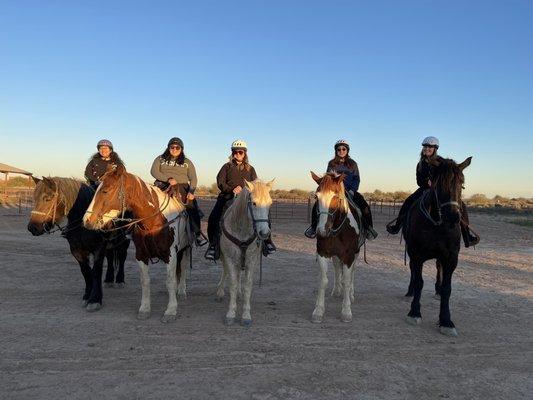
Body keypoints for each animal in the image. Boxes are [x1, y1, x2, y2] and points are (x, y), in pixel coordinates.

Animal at [27, 177, 130, 310]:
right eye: (34, 198)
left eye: (47, 198)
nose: (32, 228)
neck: (83, 222)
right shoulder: (76, 250)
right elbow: (86, 272)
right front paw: (87, 295)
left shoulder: (98, 248)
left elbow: (96, 271)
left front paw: (95, 299)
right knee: (111, 256)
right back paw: (109, 279)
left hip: (123, 239)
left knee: (122, 256)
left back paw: (119, 279)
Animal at [83, 164, 191, 324]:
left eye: (105, 190)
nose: (87, 220)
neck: (154, 221)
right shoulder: (141, 255)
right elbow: (145, 281)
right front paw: (145, 309)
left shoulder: (170, 254)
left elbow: (170, 281)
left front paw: (171, 310)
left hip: (184, 249)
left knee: (182, 268)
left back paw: (182, 291)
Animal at [216, 180, 274, 326]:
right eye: (254, 203)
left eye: (270, 203)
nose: (264, 233)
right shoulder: (230, 258)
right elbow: (233, 284)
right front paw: (231, 314)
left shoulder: (251, 260)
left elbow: (247, 286)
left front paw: (246, 315)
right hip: (224, 256)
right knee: (225, 271)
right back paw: (220, 291)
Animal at [402, 155, 472, 336]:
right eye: (439, 184)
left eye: (462, 184)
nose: (453, 217)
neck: (437, 225)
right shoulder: (417, 254)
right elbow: (419, 281)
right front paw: (414, 312)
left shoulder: (451, 257)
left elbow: (448, 288)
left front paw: (446, 321)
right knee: (413, 272)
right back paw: (410, 292)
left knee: (438, 268)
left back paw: (437, 290)